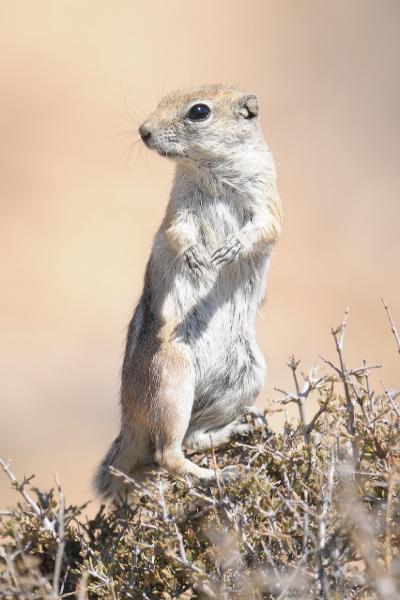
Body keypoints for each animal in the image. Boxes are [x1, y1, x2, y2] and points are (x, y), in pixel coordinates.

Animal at [96, 83, 284, 496]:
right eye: (162, 99)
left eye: (199, 112)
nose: (144, 131)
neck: (209, 168)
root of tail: (128, 421)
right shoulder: (177, 209)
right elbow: (177, 232)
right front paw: (198, 257)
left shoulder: (268, 198)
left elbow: (266, 227)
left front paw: (230, 249)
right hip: (171, 382)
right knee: (168, 453)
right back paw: (217, 475)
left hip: (244, 377)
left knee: (192, 438)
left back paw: (237, 432)